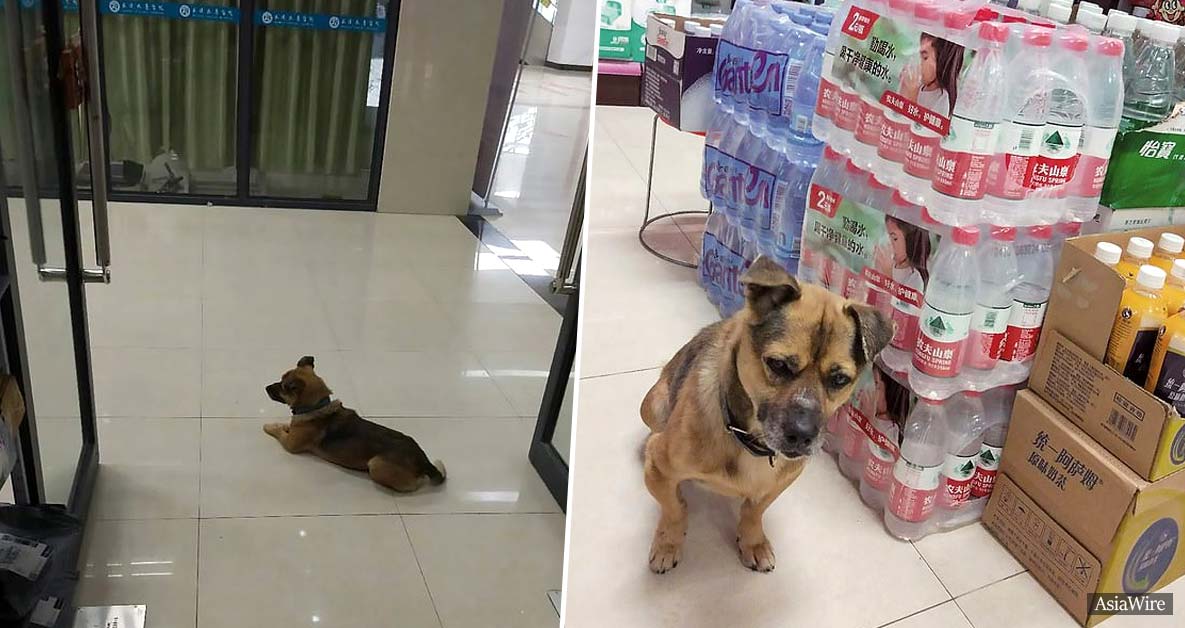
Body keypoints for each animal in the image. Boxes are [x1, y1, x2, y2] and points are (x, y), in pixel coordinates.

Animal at [265, 355, 447, 490]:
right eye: (280, 380)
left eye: (283, 386)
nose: (266, 387)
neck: (317, 406)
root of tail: (424, 463)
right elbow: (286, 426)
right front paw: (281, 424)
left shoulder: (290, 444)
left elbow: (279, 432)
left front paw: (269, 426)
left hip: (376, 465)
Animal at [639, 255, 891, 571]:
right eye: (778, 365)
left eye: (839, 380)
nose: (803, 436)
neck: (749, 442)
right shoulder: (659, 467)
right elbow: (673, 508)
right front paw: (668, 543)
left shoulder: (779, 483)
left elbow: (754, 511)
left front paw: (753, 542)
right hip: (653, 406)